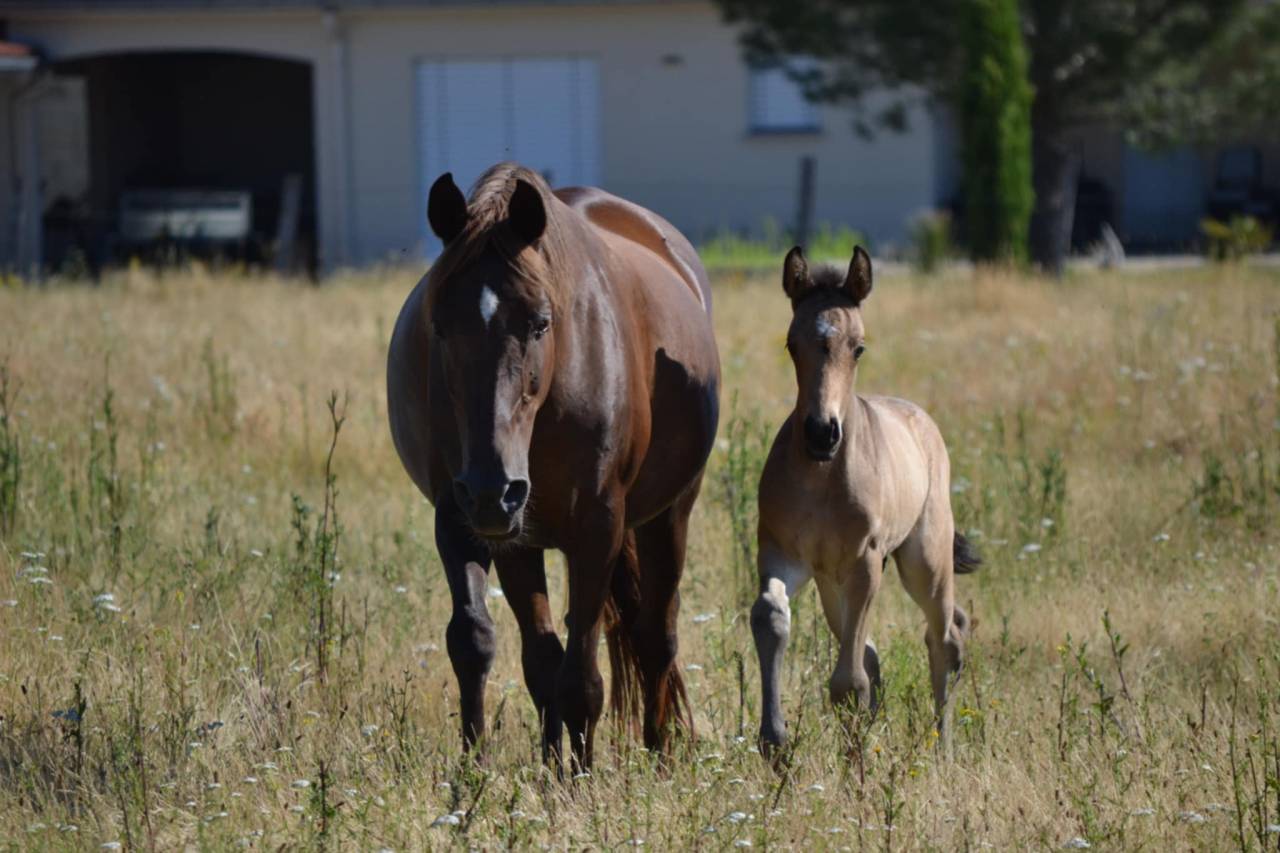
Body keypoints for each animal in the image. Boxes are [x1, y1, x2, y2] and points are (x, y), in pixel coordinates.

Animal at [386, 163, 720, 770]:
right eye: (440, 326)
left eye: (541, 322)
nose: (493, 489)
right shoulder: (468, 522)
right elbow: (485, 646)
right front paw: (482, 772)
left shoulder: (597, 527)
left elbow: (583, 675)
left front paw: (583, 781)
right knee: (548, 653)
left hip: (669, 515)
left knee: (656, 633)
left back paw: (659, 754)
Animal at [750, 245, 979, 755]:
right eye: (792, 345)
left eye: (858, 347)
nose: (821, 433)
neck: (820, 478)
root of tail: (921, 419)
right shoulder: (785, 554)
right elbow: (770, 616)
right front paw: (774, 740)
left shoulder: (865, 562)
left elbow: (847, 682)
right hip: (829, 581)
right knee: (874, 652)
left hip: (924, 558)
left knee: (946, 635)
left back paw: (943, 748)